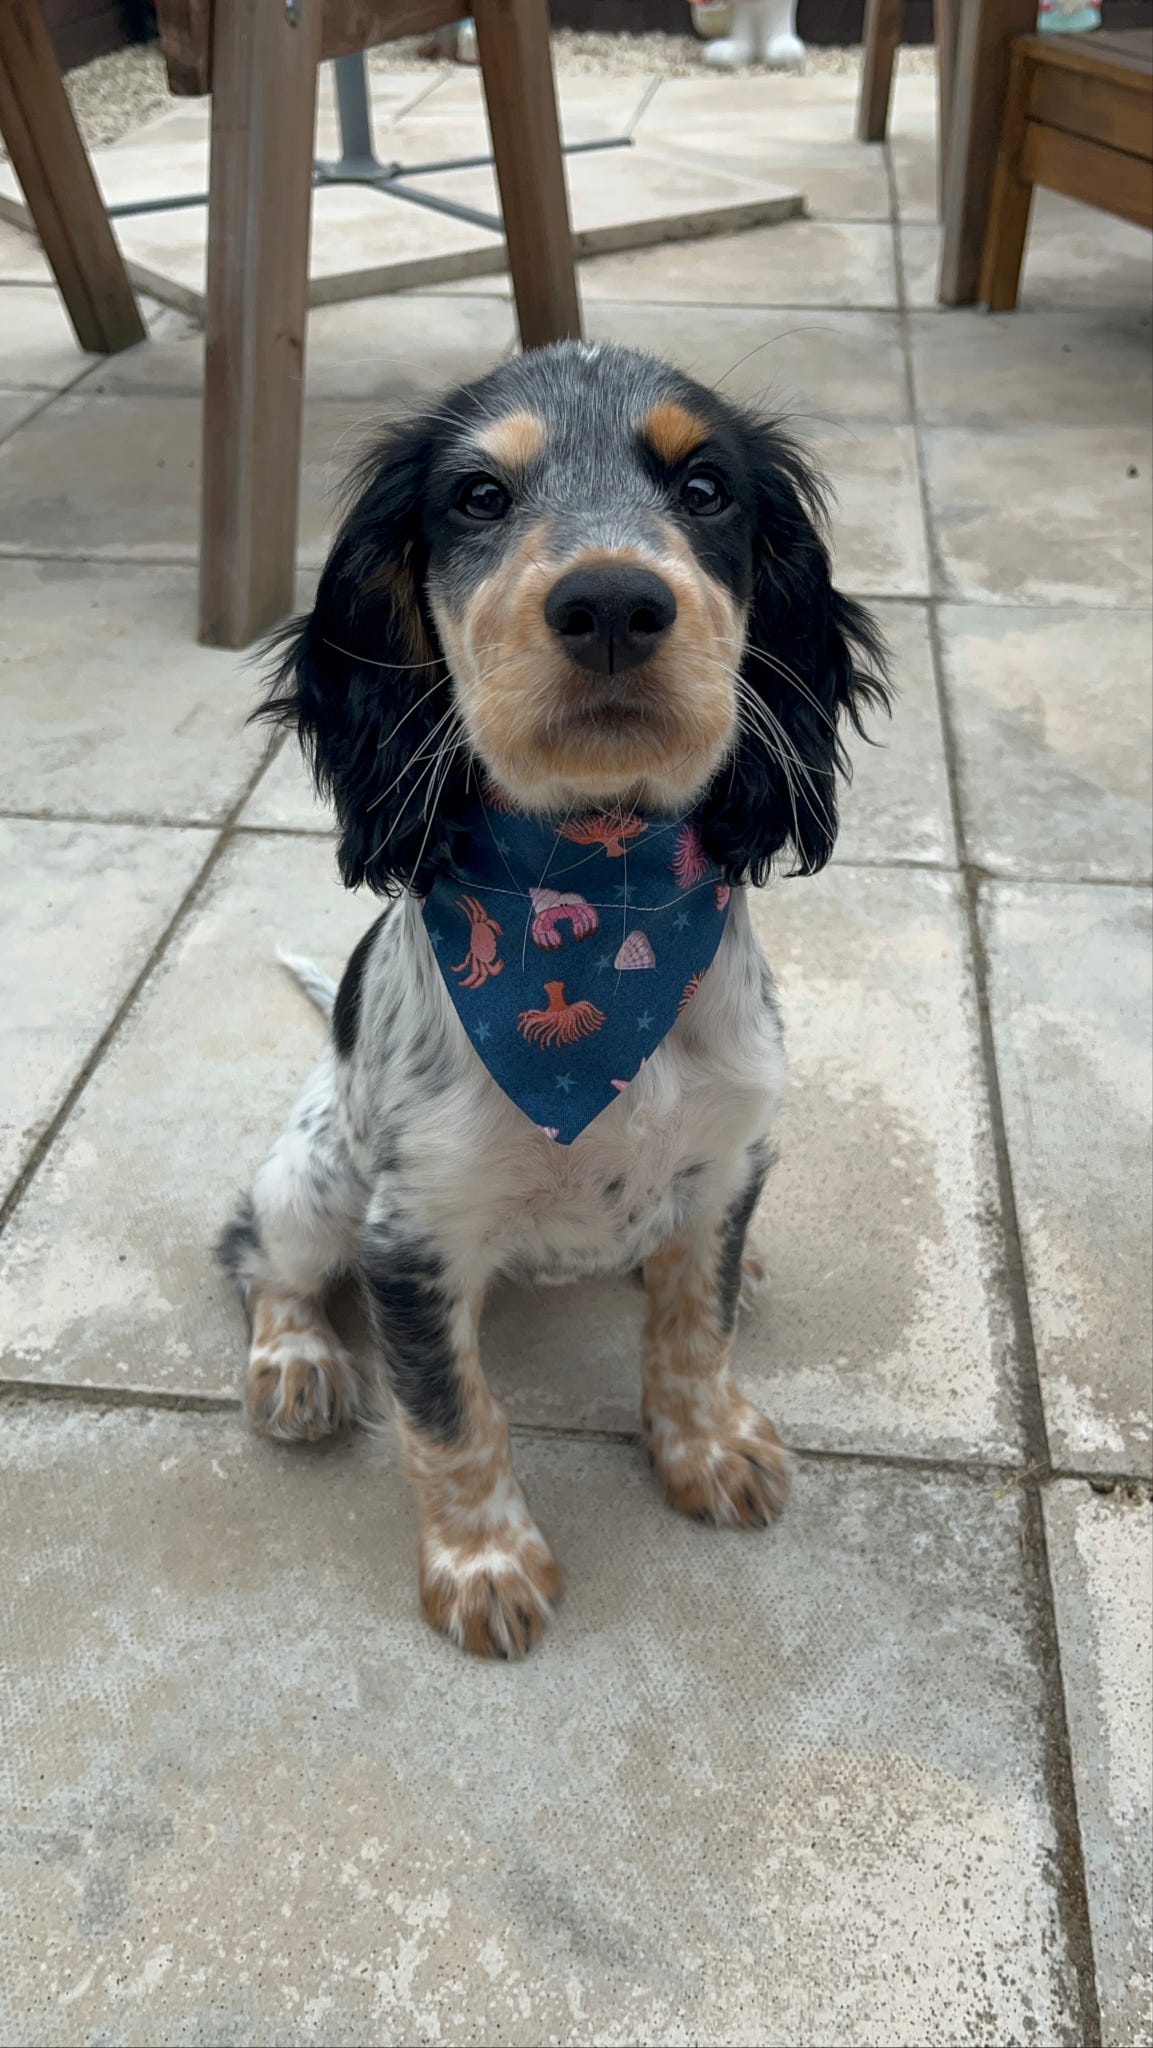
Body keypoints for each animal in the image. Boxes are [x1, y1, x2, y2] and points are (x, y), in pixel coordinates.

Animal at [221, 344, 888, 1662]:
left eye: (705, 488)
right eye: (478, 496)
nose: (614, 602)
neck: (598, 875)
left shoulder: (730, 1148)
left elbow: (693, 1324)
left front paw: (705, 1442)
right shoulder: (413, 1232)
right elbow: (450, 1416)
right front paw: (483, 1562)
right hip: (316, 1177)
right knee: (258, 1251)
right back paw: (297, 1359)